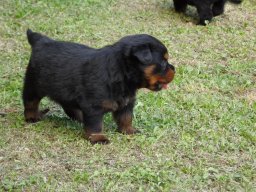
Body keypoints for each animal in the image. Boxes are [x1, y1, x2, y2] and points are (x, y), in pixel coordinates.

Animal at [23, 29, 175, 144]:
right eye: (163, 62)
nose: (174, 69)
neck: (122, 73)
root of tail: (41, 41)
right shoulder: (94, 106)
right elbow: (95, 124)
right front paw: (98, 138)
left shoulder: (127, 103)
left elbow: (126, 118)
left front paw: (128, 130)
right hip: (33, 84)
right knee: (30, 102)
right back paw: (32, 117)